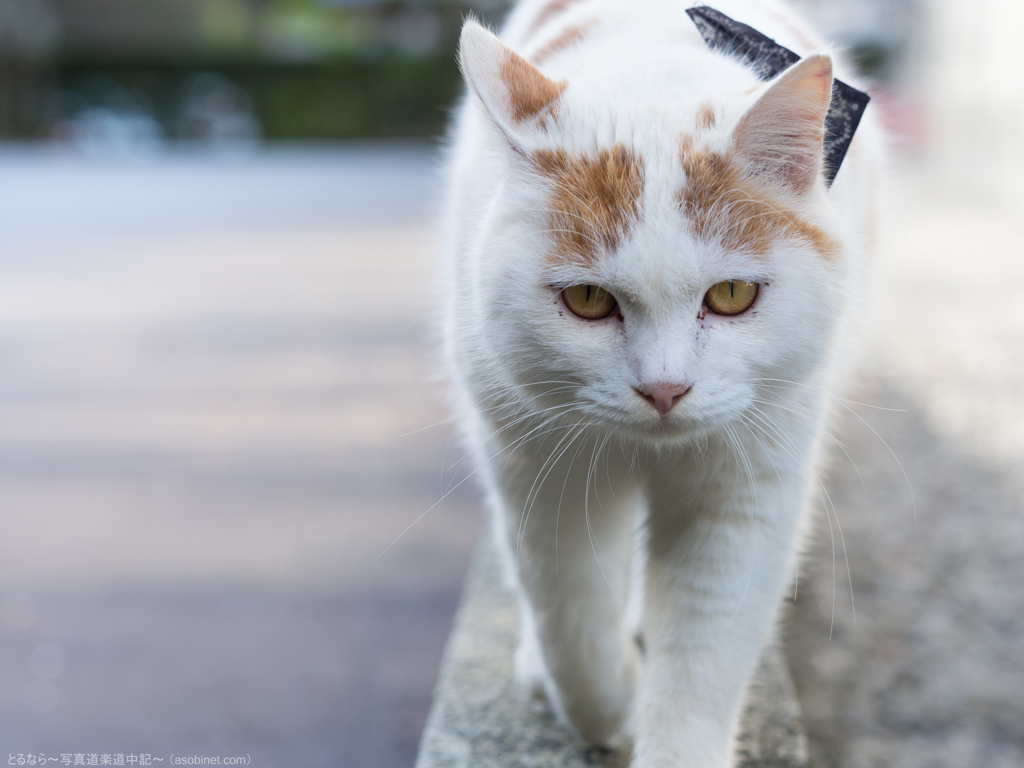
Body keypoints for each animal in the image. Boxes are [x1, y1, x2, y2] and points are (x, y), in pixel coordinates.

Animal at [440, 1, 880, 765]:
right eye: (588, 300)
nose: (665, 390)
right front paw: (606, 704)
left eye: (732, 295)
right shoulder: (539, 473)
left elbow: (703, 653)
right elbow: (569, 615)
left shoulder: (745, 494)